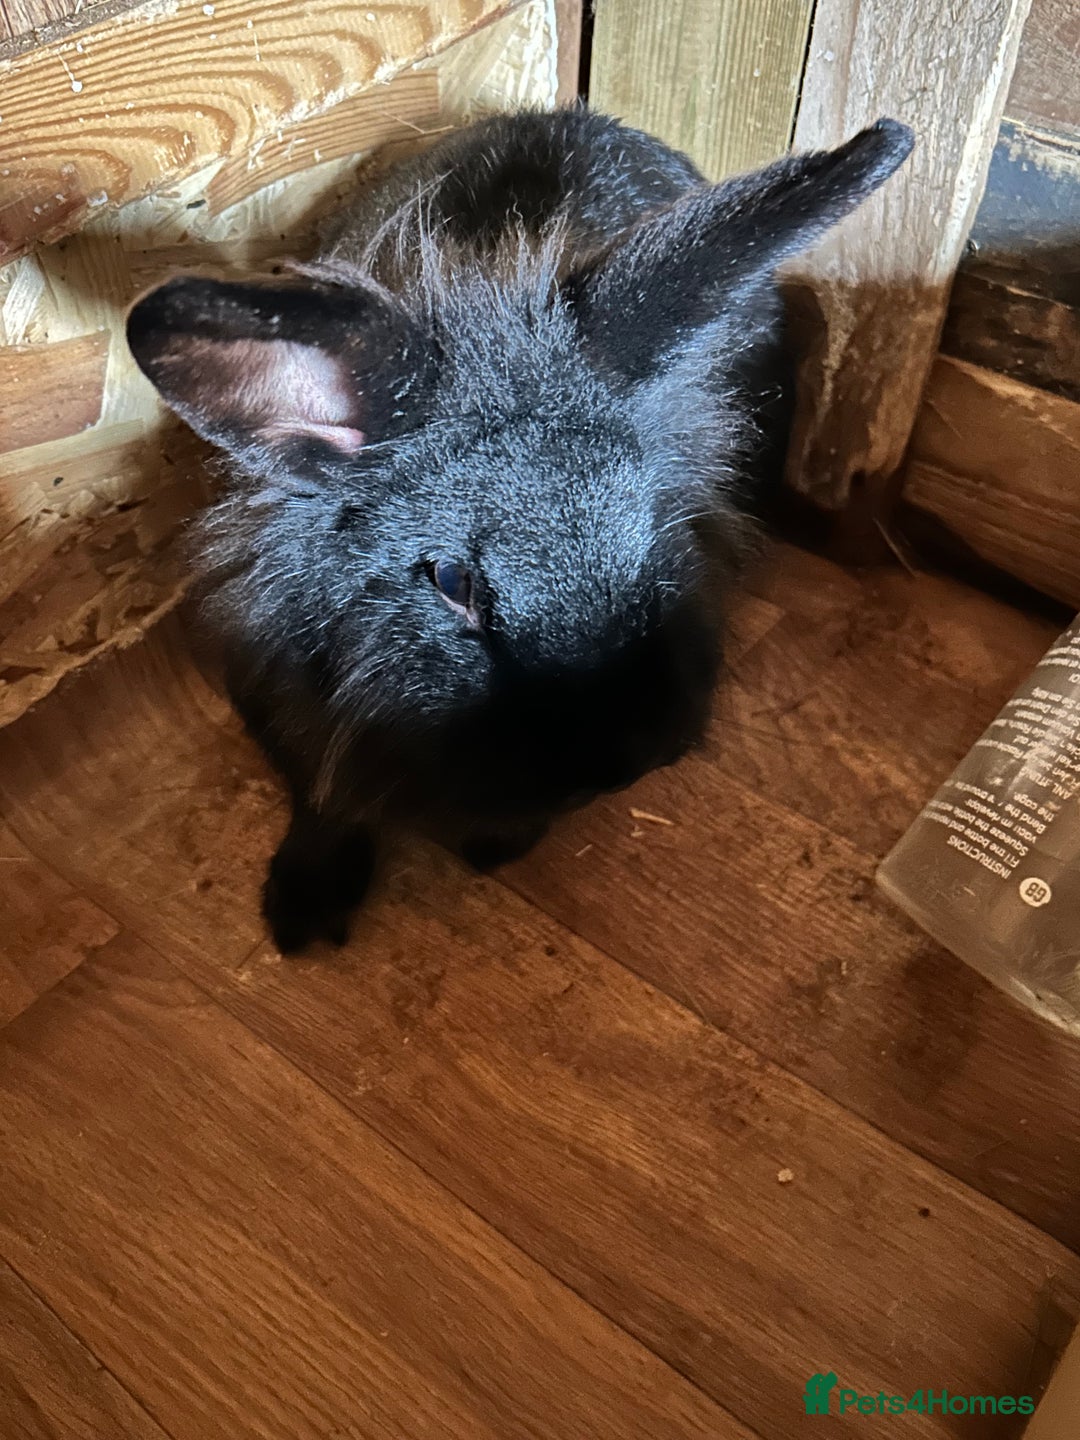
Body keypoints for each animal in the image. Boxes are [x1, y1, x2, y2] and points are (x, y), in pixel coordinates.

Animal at [126, 106, 914, 953]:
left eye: (651, 528)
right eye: (451, 582)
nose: (625, 763)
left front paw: (494, 846)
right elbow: (321, 798)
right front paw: (301, 915)